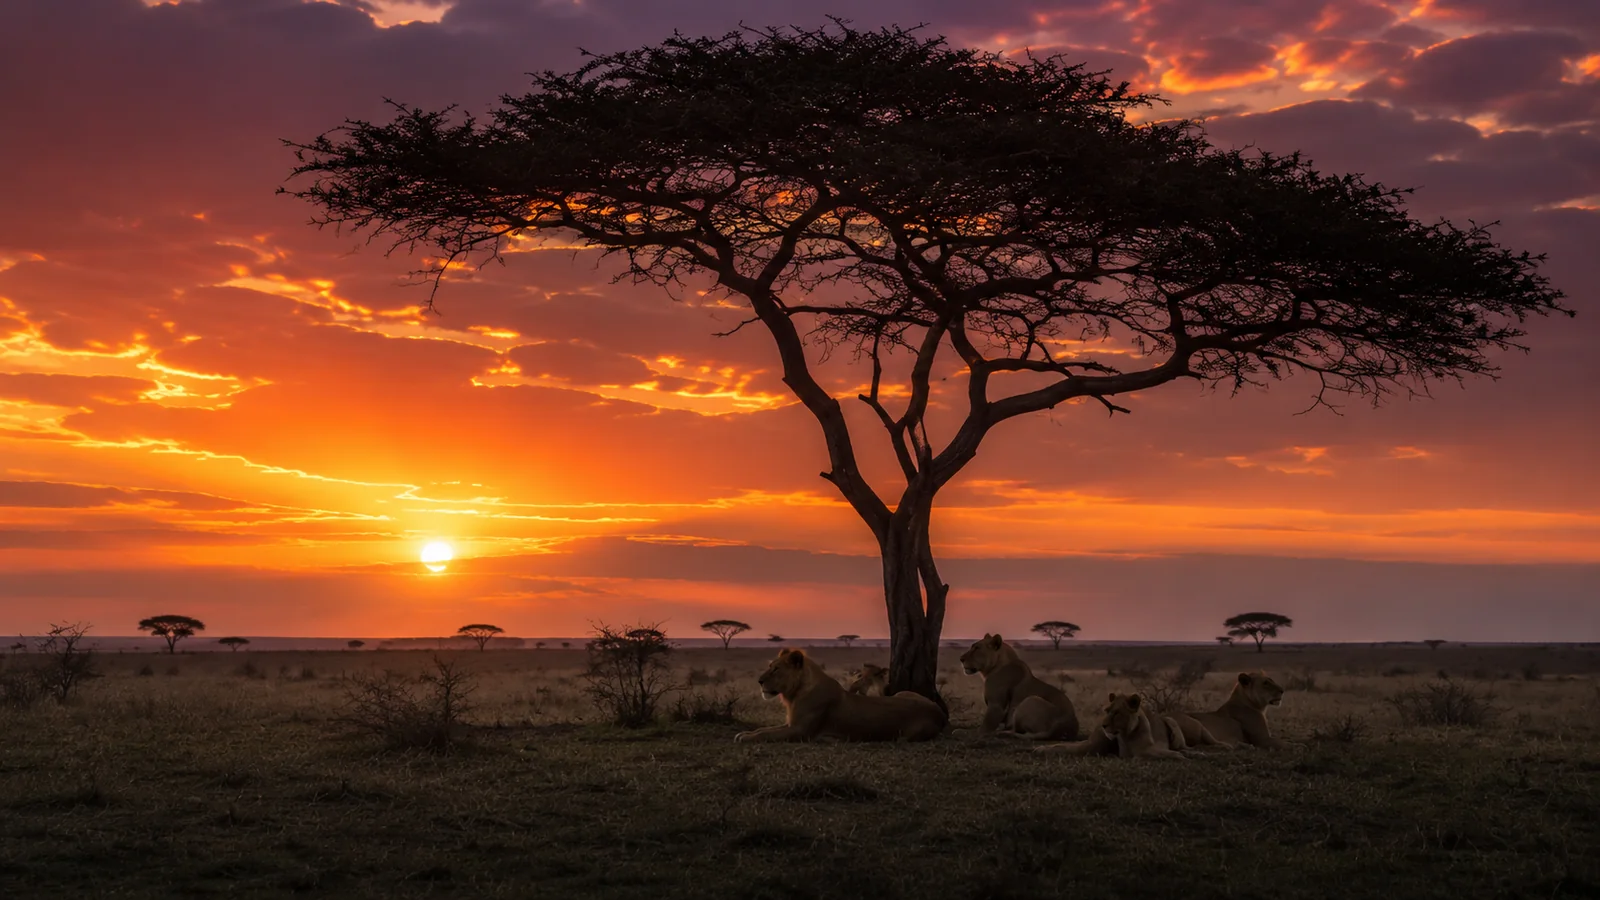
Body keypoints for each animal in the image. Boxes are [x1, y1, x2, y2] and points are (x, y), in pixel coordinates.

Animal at [734, 649, 945, 743]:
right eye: (770, 666)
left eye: (776, 669)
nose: (759, 681)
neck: (795, 693)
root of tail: (939, 711)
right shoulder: (791, 724)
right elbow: (764, 729)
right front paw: (744, 733)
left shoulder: (800, 731)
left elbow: (767, 734)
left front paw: (745, 738)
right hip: (903, 693)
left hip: (905, 735)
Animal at [1168, 671, 1301, 750]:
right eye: (1265, 683)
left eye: (1271, 680)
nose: (1282, 690)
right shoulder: (1262, 739)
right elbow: (1285, 744)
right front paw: (1300, 746)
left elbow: (1286, 740)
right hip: (1196, 723)